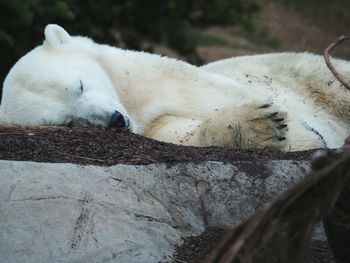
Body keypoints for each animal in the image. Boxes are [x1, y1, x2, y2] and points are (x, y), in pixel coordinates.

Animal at [0, 25, 348, 153]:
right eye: (68, 122)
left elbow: (210, 93)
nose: (115, 120)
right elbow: (180, 130)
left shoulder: (152, 76)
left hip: (298, 69)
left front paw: (302, 134)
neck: (133, 105)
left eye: (80, 85)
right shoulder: (150, 125)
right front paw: (261, 126)